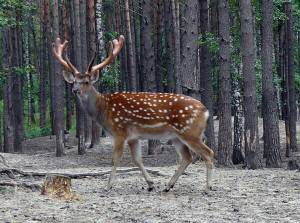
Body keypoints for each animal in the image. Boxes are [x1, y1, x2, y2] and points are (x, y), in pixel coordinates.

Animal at [52, 34, 214, 192]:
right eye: (74, 81)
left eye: (86, 82)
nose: (74, 90)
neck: (103, 110)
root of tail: (206, 111)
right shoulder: (133, 137)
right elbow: (137, 159)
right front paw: (150, 184)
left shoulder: (120, 131)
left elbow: (115, 159)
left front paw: (108, 186)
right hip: (177, 136)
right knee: (187, 157)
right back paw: (168, 186)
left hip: (190, 132)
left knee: (208, 153)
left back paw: (207, 187)